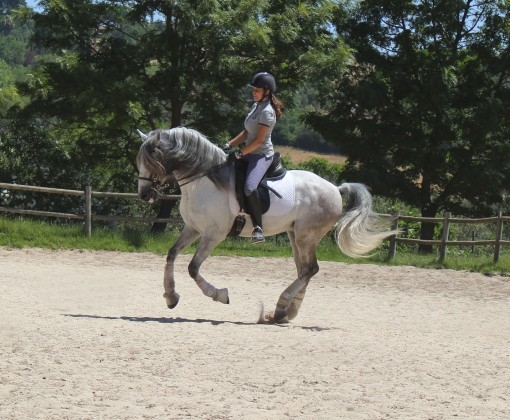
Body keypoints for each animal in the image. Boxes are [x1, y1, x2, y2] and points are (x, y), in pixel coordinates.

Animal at [136, 126, 398, 324]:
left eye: (152, 161)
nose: (144, 195)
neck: (204, 181)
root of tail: (335, 188)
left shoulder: (213, 235)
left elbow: (192, 268)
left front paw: (220, 295)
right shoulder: (192, 229)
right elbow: (171, 255)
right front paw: (171, 296)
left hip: (306, 236)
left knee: (310, 269)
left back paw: (282, 305)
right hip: (295, 236)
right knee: (304, 270)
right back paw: (284, 312)